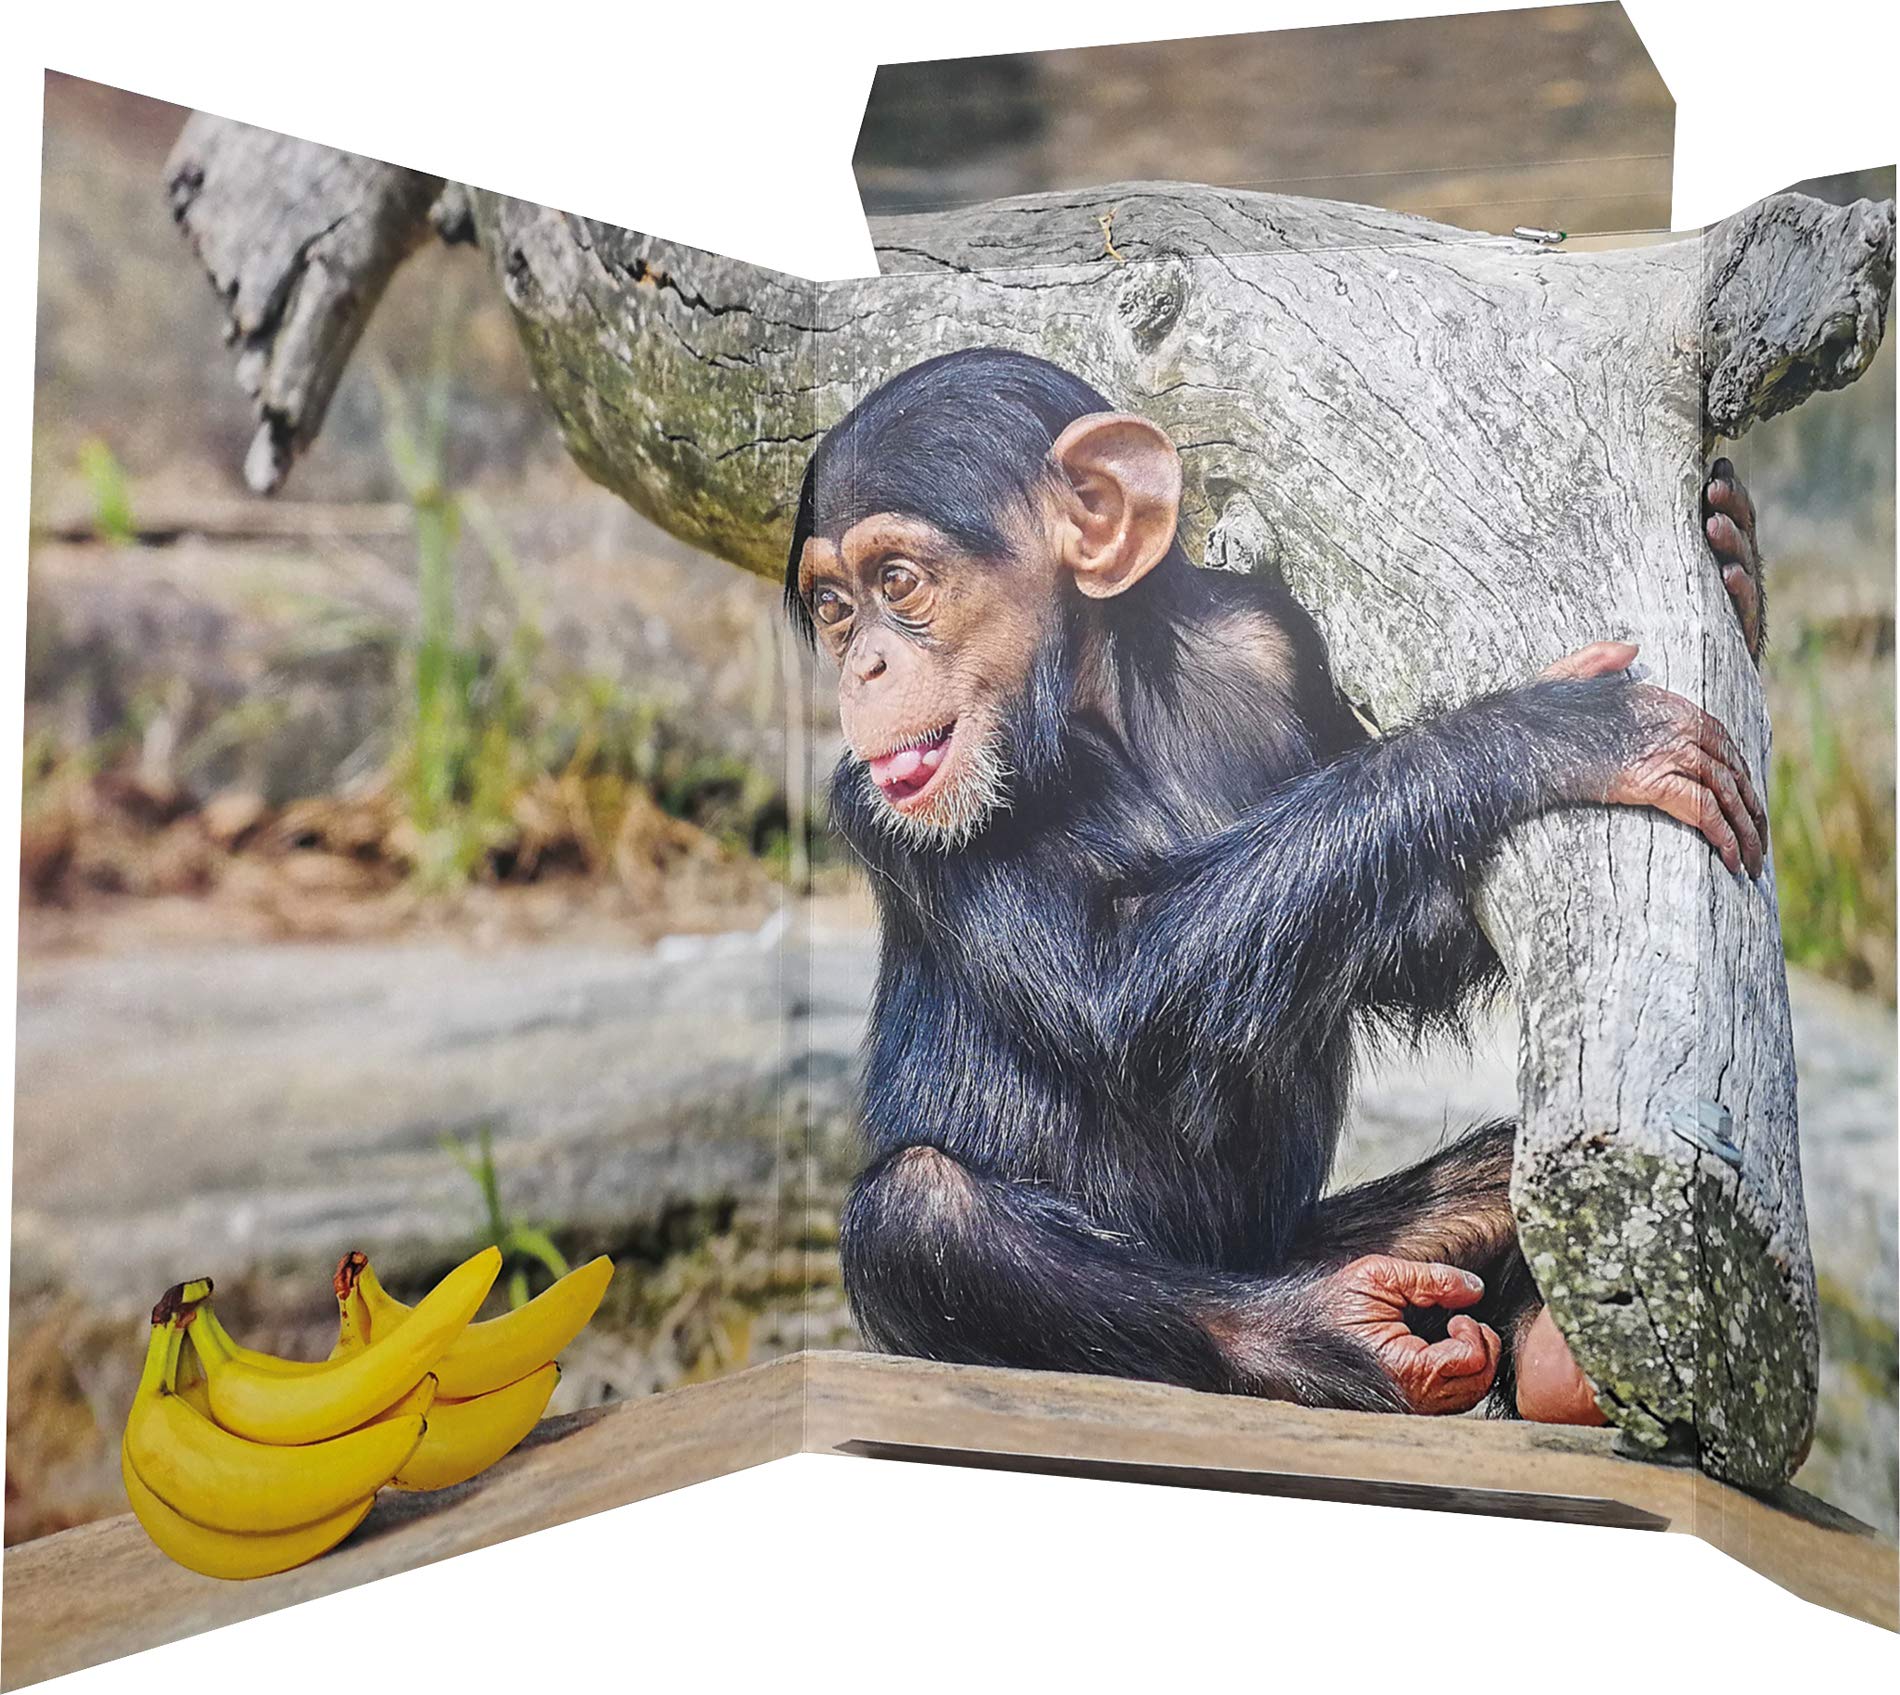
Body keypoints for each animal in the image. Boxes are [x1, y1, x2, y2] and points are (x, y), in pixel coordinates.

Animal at [786, 347, 1767, 1419]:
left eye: (898, 581)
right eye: (836, 608)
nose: (865, 665)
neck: (1105, 693)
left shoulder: (1278, 645)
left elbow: (1408, 937)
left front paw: (1736, 572)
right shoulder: (887, 810)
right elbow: (1115, 978)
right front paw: (1541, 731)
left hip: (1305, 1240)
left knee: (1500, 1166)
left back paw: (1544, 1353)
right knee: (918, 1212)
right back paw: (1329, 1333)